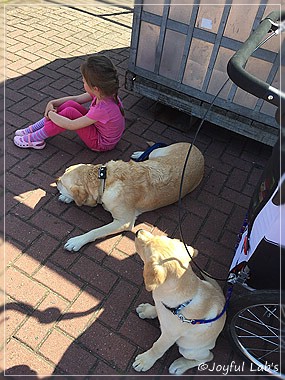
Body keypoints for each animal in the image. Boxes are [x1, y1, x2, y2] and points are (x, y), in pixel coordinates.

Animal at [133, 230, 226, 376]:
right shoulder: (162, 305)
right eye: (159, 236)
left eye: (145, 247)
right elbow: (158, 307)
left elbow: (158, 348)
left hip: (189, 350)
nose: (138, 231)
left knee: (207, 357)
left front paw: (145, 361)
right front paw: (148, 310)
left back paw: (180, 365)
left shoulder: (169, 336)